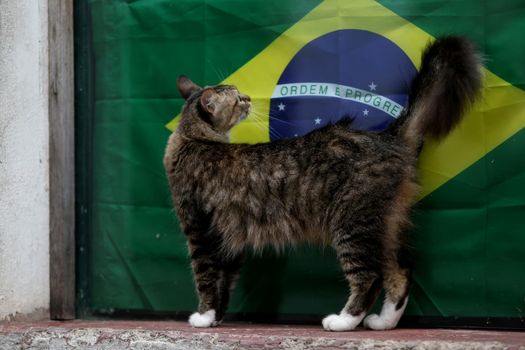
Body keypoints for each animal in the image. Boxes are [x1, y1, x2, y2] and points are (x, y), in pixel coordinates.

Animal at [163, 36, 478, 330]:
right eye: (237, 99)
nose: (249, 98)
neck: (192, 139)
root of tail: (385, 136)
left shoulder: (199, 232)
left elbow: (204, 278)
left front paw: (203, 317)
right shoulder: (223, 239)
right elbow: (221, 283)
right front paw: (214, 317)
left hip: (352, 222)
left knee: (370, 277)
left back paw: (343, 321)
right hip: (384, 224)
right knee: (400, 272)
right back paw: (383, 322)